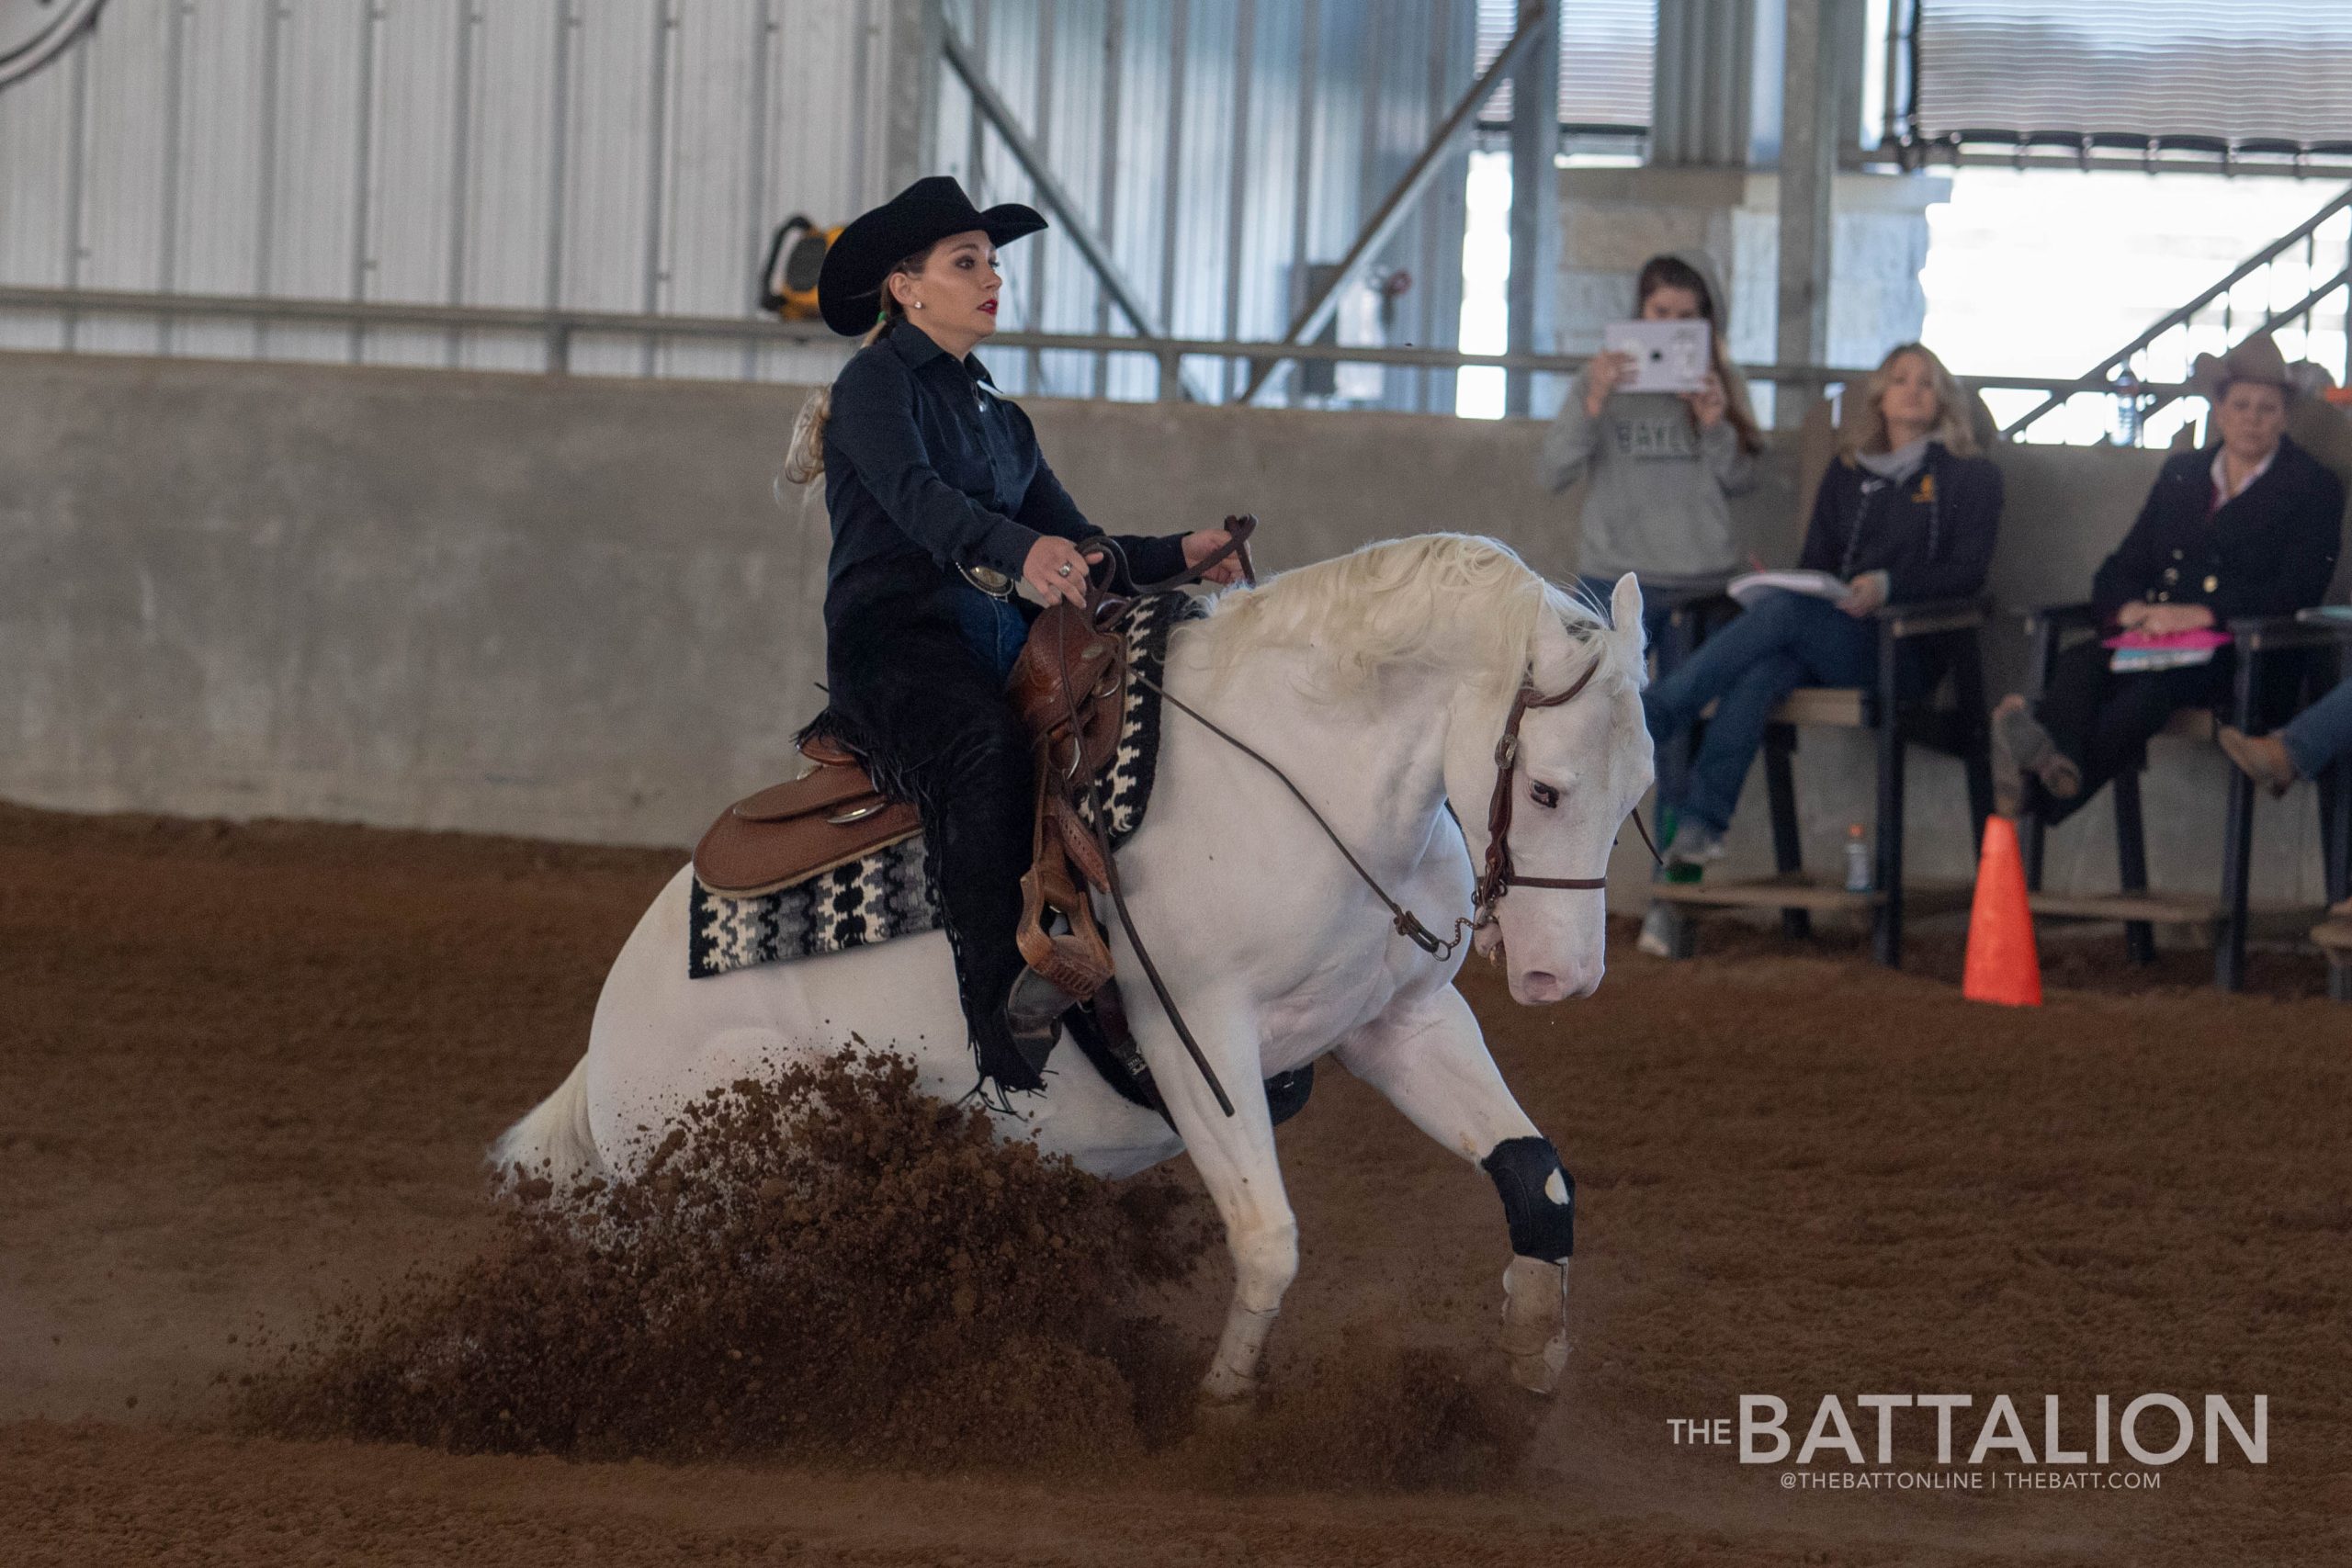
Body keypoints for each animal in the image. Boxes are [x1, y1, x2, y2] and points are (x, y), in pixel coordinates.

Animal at [496, 536, 1656, 1401]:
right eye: (1546, 789)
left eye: (1641, 784)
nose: (1560, 980)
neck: (1296, 776)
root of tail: (607, 1042)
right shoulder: (1196, 1040)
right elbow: (1268, 1239)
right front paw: (1221, 1412)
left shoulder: (1404, 1020)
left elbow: (1534, 1172)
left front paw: (1532, 1355)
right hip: (735, 1175)